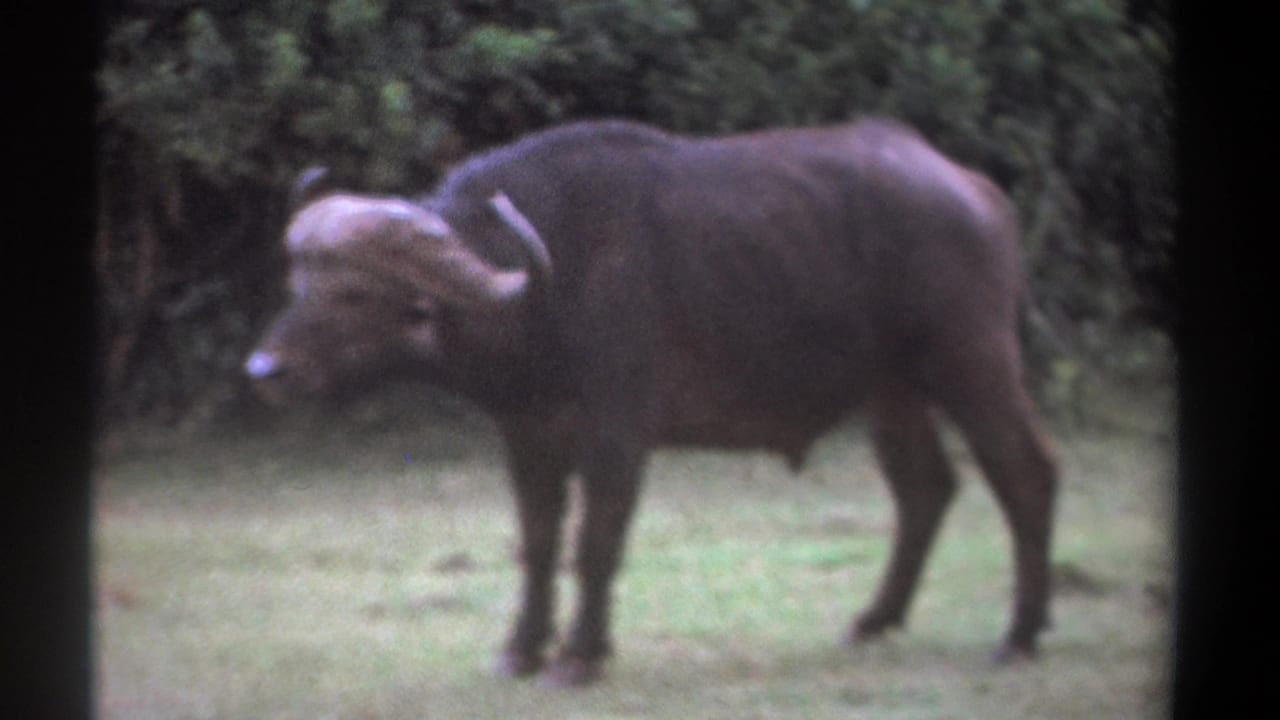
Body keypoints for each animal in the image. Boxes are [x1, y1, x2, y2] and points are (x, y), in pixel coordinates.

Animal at [245, 119, 1057, 687]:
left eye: (356, 293)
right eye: (301, 282)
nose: (266, 369)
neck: (549, 287)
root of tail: (977, 193)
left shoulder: (617, 435)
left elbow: (596, 542)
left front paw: (579, 657)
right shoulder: (529, 436)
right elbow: (539, 542)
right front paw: (521, 651)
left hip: (972, 363)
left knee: (1025, 474)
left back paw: (1019, 636)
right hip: (890, 390)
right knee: (925, 488)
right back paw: (874, 621)